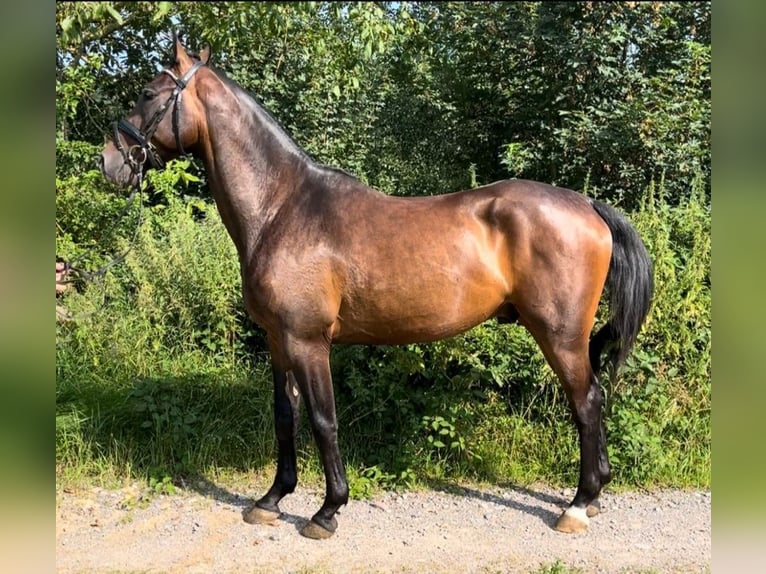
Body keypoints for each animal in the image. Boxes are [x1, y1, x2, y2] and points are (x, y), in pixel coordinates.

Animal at [100, 36, 656, 540]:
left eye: (148, 93)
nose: (111, 161)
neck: (282, 207)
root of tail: (587, 205)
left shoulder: (308, 341)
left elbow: (323, 420)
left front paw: (327, 511)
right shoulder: (279, 342)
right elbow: (285, 416)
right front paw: (272, 499)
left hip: (559, 335)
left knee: (586, 401)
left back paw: (578, 505)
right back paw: (594, 496)